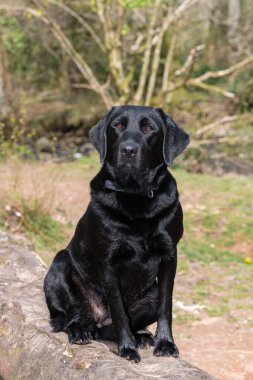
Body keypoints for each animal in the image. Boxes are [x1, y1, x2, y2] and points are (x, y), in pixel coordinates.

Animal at [44, 104, 190, 362]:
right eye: (118, 126)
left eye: (149, 128)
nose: (128, 150)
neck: (135, 197)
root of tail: (98, 320)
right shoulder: (108, 261)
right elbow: (119, 312)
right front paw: (127, 348)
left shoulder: (169, 255)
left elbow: (166, 306)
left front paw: (165, 343)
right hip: (60, 263)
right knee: (72, 314)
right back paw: (80, 330)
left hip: (149, 295)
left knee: (108, 328)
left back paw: (140, 336)